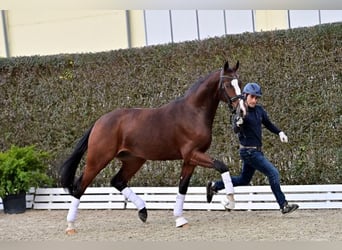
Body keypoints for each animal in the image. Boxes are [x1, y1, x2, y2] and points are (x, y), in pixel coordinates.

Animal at [59, 60, 246, 234]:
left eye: (240, 83)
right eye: (228, 85)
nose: (242, 111)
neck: (193, 112)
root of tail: (99, 121)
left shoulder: (190, 159)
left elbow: (183, 187)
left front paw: (180, 219)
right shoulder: (193, 154)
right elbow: (222, 165)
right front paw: (229, 201)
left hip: (134, 160)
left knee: (117, 181)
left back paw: (143, 211)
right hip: (98, 159)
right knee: (80, 187)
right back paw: (70, 226)